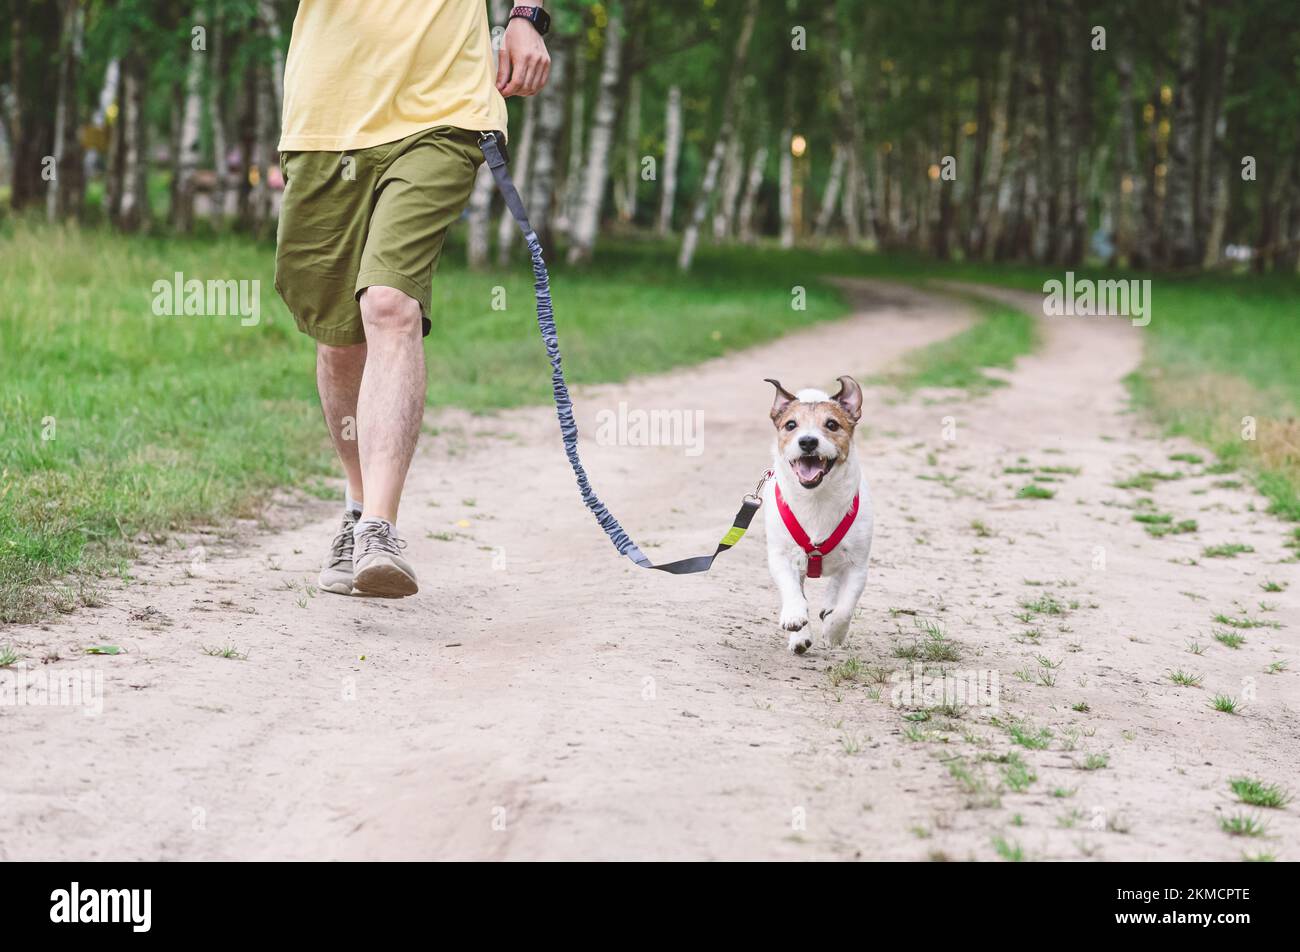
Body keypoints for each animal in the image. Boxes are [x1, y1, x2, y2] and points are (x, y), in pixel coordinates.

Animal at [759, 377, 873, 655]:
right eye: (791, 425)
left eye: (831, 424)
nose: (808, 441)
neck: (816, 498)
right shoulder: (781, 556)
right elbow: (793, 592)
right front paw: (794, 620)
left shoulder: (858, 565)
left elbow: (845, 608)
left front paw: (834, 631)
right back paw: (800, 636)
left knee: (836, 588)